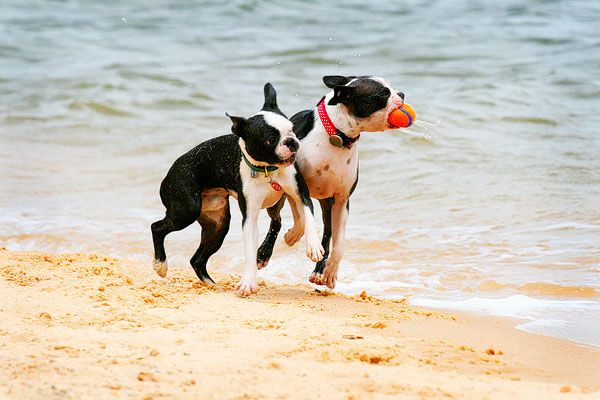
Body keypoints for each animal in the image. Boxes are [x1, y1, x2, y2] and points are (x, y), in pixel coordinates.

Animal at [152, 83, 326, 296]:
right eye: (271, 139)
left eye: (292, 130)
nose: (291, 141)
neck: (268, 170)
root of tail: (168, 175)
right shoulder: (250, 218)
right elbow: (250, 251)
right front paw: (248, 282)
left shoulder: (302, 194)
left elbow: (309, 217)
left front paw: (314, 246)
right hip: (187, 210)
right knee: (157, 227)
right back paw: (160, 264)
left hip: (218, 225)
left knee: (197, 260)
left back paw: (212, 285)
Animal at [255, 74, 406, 288]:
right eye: (384, 93)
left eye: (391, 87)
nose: (401, 94)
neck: (337, 134)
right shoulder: (295, 186)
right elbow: (302, 219)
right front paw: (293, 236)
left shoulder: (342, 201)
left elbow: (338, 245)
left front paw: (330, 272)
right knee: (277, 220)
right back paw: (265, 252)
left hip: (328, 204)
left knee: (327, 234)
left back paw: (319, 270)